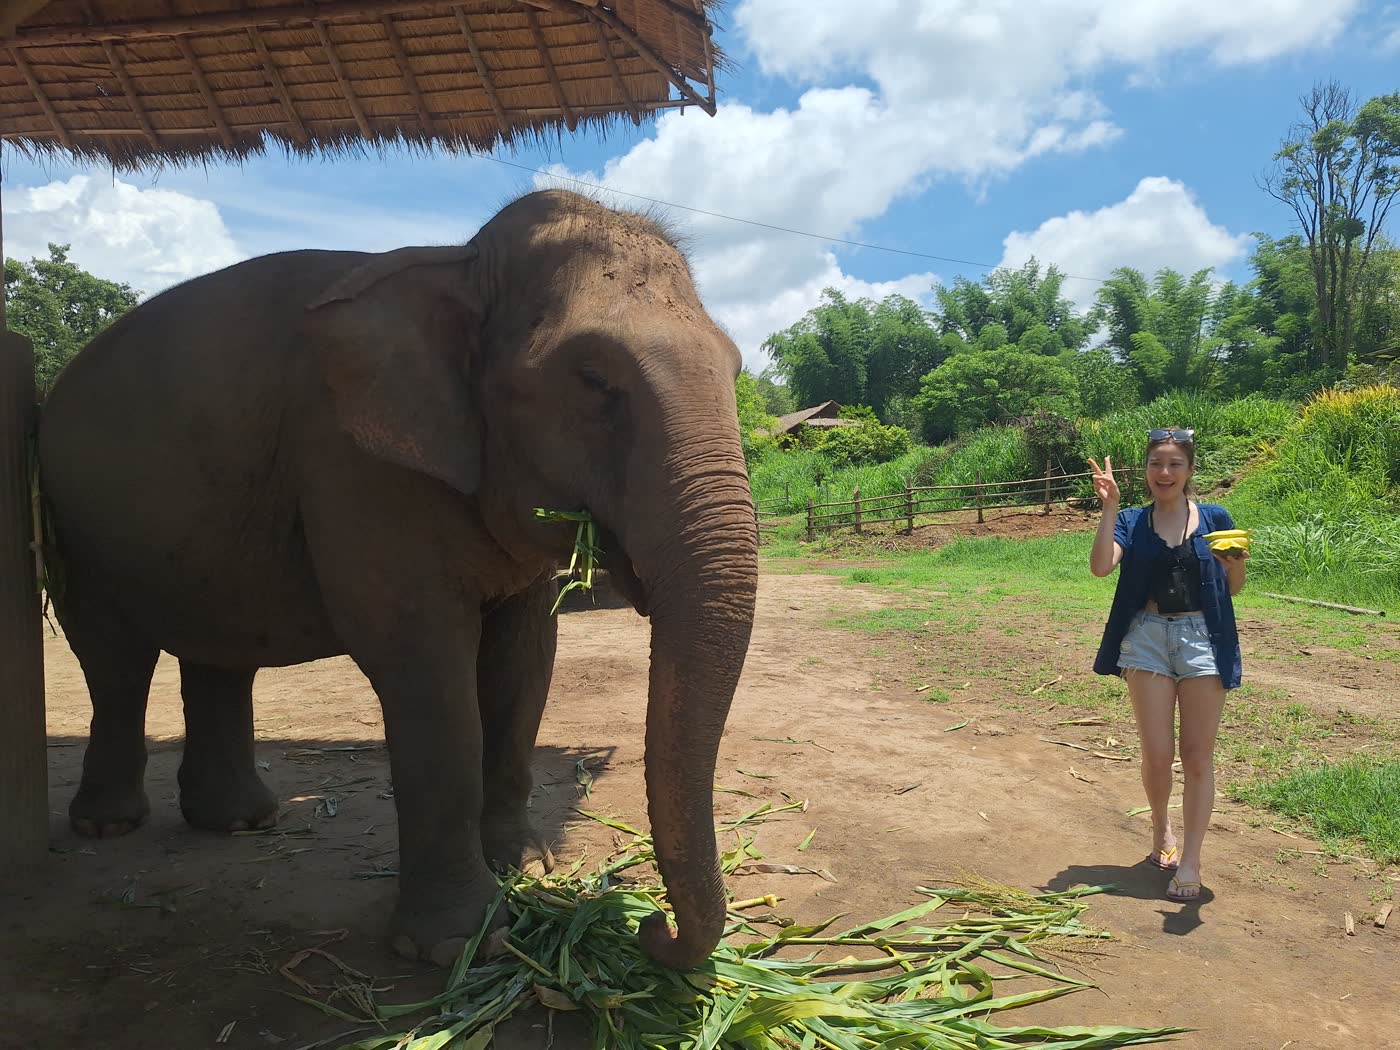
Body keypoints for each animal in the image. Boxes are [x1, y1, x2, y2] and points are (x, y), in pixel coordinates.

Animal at [36, 189, 759, 970]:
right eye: (594, 380)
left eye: (735, 372)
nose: (652, 926)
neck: (463, 263)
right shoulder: (354, 461)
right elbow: (424, 667)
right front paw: (460, 943)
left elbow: (522, 666)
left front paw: (525, 867)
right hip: (73, 518)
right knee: (115, 658)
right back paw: (109, 828)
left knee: (218, 655)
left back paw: (240, 823)